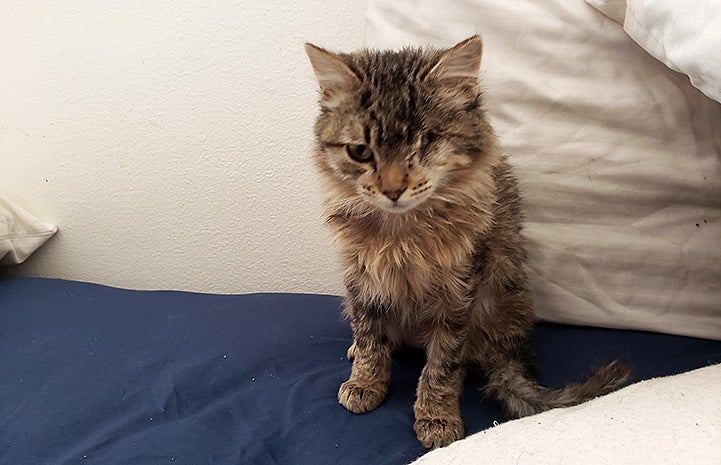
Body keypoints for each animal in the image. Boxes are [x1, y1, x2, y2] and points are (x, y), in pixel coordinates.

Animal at [304, 37, 632, 450]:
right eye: (360, 151)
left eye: (425, 143)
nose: (392, 190)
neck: (402, 232)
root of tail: (506, 346)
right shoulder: (360, 277)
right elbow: (368, 338)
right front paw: (365, 381)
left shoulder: (460, 291)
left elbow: (442, 364)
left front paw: (436, 415)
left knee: (461, 359)